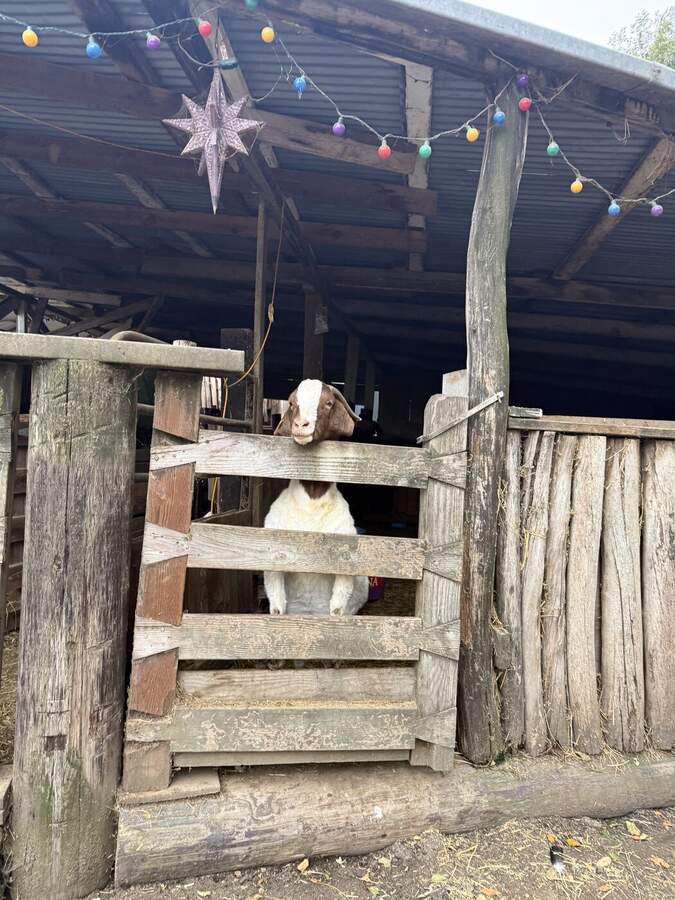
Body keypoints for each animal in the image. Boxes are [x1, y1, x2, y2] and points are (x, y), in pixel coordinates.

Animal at [263, 380, 369, 617]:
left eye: (328, 403)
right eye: (291, 403)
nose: (301, 425)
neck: (311, 506)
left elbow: (337, 608)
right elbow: (277, 607)